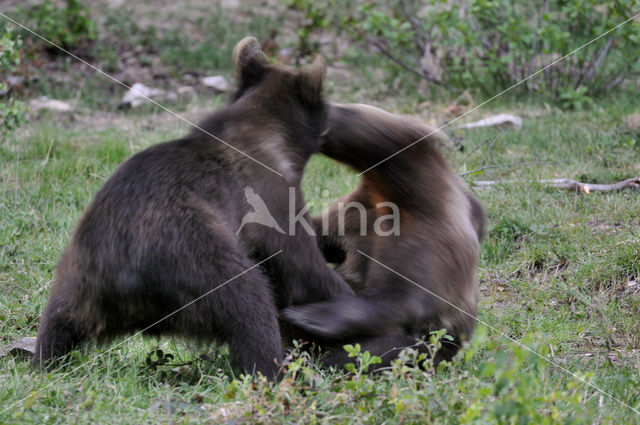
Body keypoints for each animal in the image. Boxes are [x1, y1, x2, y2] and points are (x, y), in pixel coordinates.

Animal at [33, 37, 356, 378]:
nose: (335, 121)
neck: (265, 132)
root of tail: (125, 282)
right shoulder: (271, 196)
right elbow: (301, 265)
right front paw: (343, 294)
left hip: (79, 273)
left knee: (58, 318)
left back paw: (45, 357)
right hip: (195, 255)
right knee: (249, 301)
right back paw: (277, 369)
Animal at [284, 102, 484, 368]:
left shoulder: (427, 242)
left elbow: (398, 300)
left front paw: (312, 316)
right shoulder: (356, 213)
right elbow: (322, 234)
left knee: (389, 348)